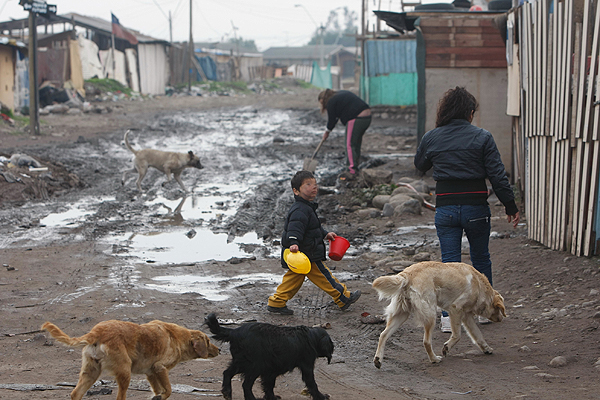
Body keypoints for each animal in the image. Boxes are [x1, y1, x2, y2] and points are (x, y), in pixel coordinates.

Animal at [42, 318, 220, 400]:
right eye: (208, 341)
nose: (219, 349)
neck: (179, 338)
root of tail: (97, 332)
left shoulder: (151, 373)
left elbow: (158, 390)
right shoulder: (160, 368)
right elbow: (168, 390)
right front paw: (160, 396)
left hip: (90, 372)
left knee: (75, 393)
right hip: (124, 372)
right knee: (120, 397)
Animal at [370, 260, 506, 368]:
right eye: (500, 310)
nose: (501, 319)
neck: (479, 286)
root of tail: (406, 274)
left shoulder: (467, 317)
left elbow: (478, 335)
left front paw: (486, 348)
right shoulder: (455, 309)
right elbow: (457, 335)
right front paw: (446, 348)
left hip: (401, 315)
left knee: (383, 335)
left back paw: (378, 360)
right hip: (430, 315)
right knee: (426, 341)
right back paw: (434, 359)